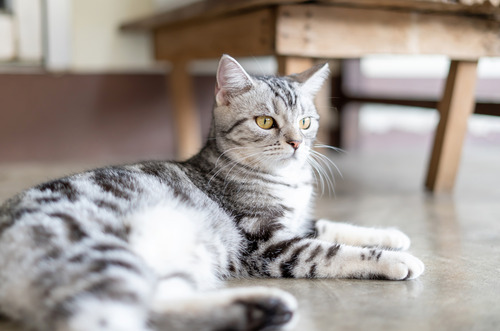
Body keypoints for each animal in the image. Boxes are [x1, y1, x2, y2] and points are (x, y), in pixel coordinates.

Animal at [0, 55, 422, 331]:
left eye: (305, 122)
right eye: (265, 122)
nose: (297, 143)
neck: (287, 181)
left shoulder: (297, 221)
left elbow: (329, 225)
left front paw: (390, 235)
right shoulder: (269, 244)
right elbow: (329, 251)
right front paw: (397, 259)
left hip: (170, 268)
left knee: (157, 306)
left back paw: (263, 308)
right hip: (99, 255)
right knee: (107, 320)